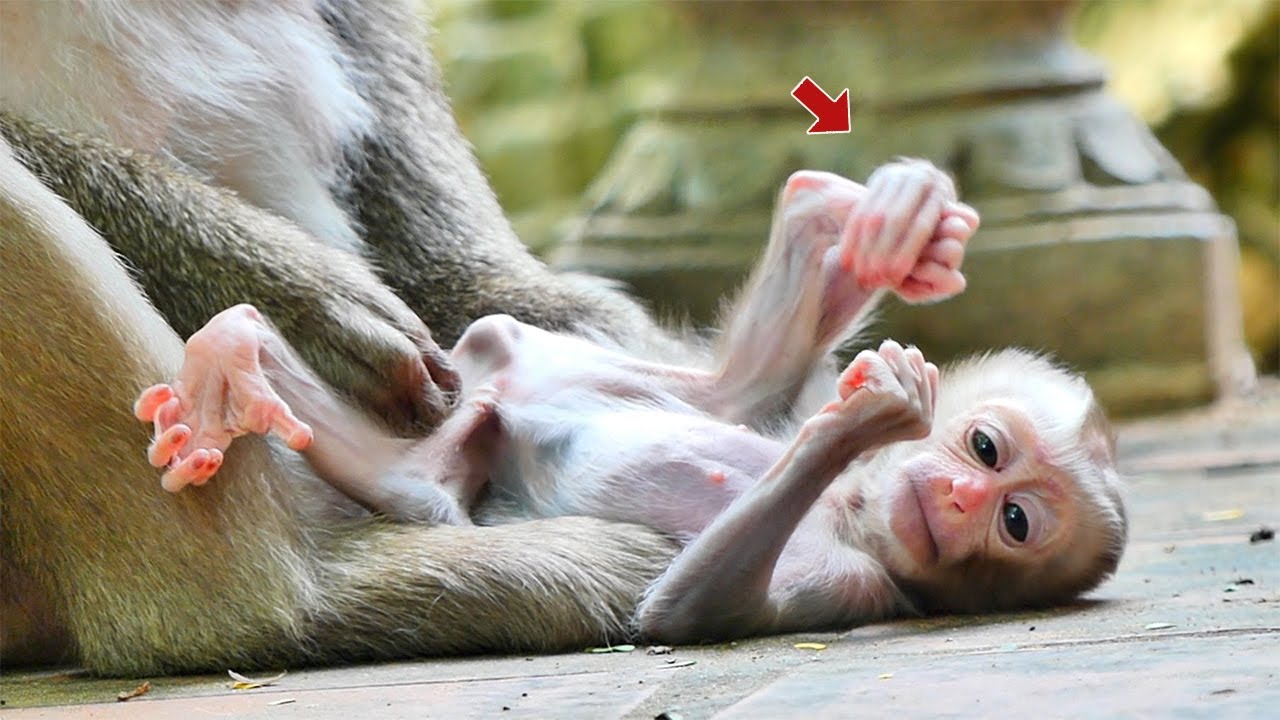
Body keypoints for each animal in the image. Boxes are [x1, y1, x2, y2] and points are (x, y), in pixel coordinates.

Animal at [135, 161, 1128, 643]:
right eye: (987, 450)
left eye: (1015, 524)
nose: (962, 497)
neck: (853, 514)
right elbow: (754, 400)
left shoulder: (858, 584)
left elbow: (681, 615)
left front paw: (867, 419)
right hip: (521, 369)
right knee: (686, 384)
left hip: (438, 476)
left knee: (414, 483)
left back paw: (242, 367)